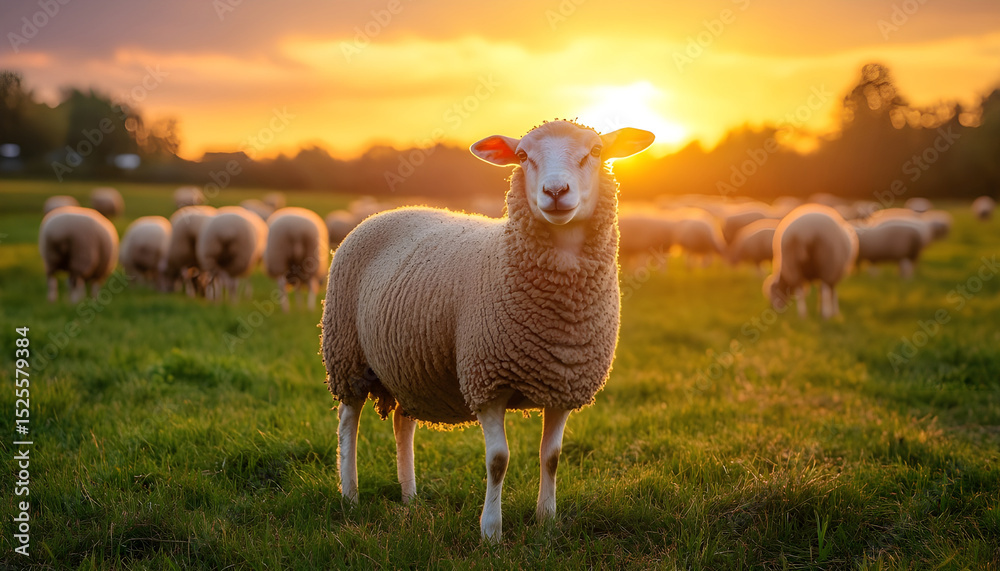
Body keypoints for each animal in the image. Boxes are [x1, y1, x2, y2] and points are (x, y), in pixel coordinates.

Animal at [321, 120, 654, 542]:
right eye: (523, 156)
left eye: (595, 151)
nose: (555, 192)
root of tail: (387, 212)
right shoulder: (488, 380)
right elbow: (498, 460)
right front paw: (491, 531)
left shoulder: (563, 381)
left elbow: (552, 457)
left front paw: (546, 519)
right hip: (346, 353)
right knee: (347, 423)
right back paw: (349, 495)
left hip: (408, 363)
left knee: (402, 424)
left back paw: (410, 497)